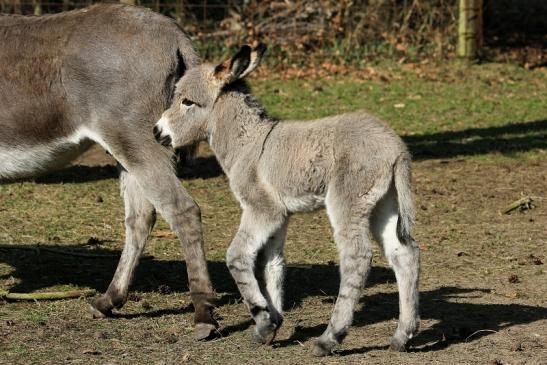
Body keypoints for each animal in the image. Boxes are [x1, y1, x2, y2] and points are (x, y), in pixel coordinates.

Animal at [156, 44, 422, 354]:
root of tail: (396, 147)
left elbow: (236, 256)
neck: (248, 144)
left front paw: (262, 319)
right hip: (383, 204)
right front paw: (271, 324)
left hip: (348, 201)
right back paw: (403, 336)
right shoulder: (279, 215)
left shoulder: (262, 209)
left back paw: (330, 337)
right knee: (404, 254)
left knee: (356, 257)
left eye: (188, 102)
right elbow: (271, 263)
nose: (157, 132)